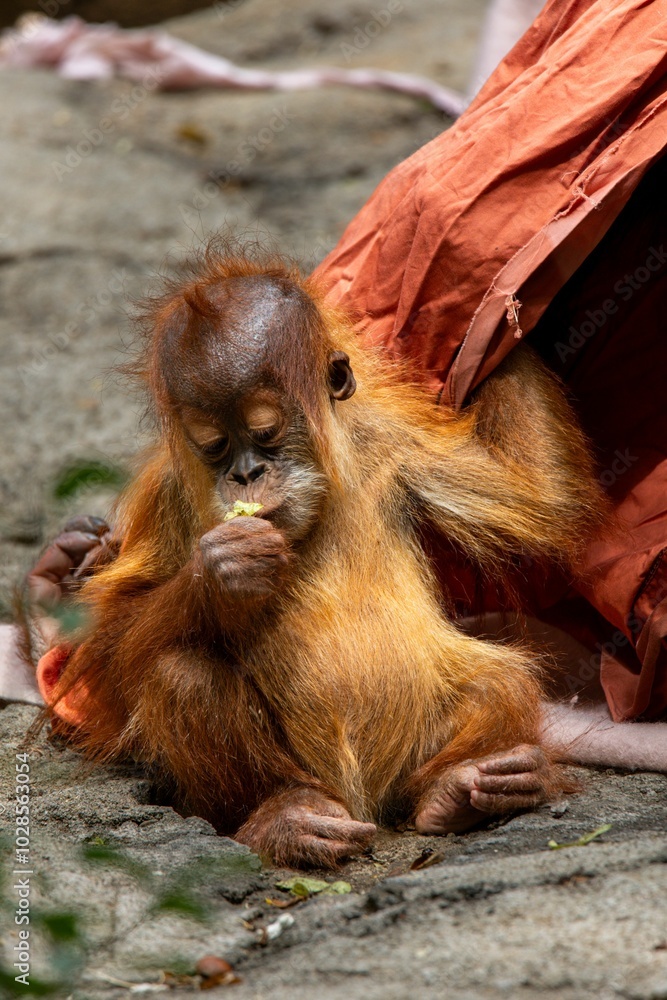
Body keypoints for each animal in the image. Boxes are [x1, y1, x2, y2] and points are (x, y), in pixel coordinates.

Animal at [33, 249, 606, 868]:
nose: (246, 474)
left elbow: (538, 503)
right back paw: (288, 817)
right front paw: (221, 570)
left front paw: (520, 302)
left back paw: (463, 788)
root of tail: (364, 802)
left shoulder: (395, 441)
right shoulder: (167, 492)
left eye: (265, 432)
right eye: (213, 445)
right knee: (181, 675)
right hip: (309, 775)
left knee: (497, 682)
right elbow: (110, 636)